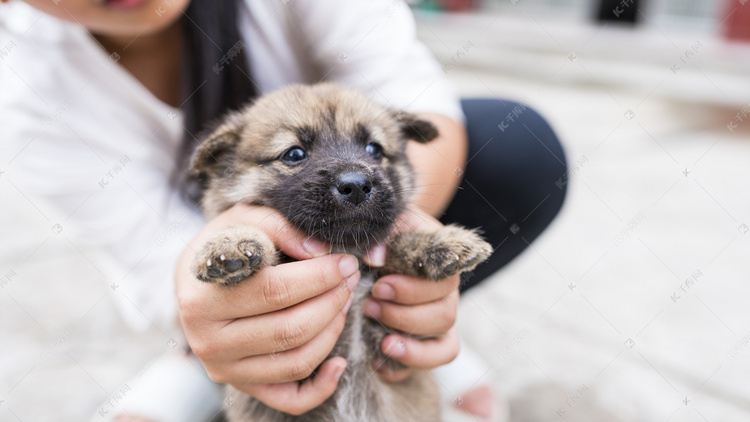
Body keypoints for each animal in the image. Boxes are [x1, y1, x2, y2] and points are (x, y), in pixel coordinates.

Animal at [188, 83, 494, 422]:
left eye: (374, 149)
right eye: (294, 154)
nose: (357, 185)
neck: (347, 250)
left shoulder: (398, 346)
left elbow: (394, 247)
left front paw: (440, 242)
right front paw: (231, 244)